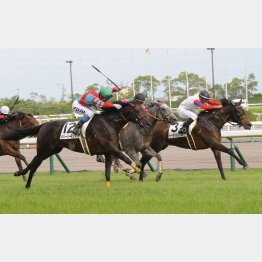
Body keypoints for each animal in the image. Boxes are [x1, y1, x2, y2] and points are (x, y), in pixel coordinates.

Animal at [0, 102, 147, 188]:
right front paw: (136, 170)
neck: (109, 123)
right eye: (138, 111)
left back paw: (26, 182)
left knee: (34, 163)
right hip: (44, 149)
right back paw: (23, 177)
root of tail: (43, 125)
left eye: (145, 109)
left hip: (53, 150)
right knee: (33, 162)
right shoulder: (111, 148)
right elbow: (127, 159)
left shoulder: (108, 152)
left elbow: (108, 172)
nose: (146, 123)